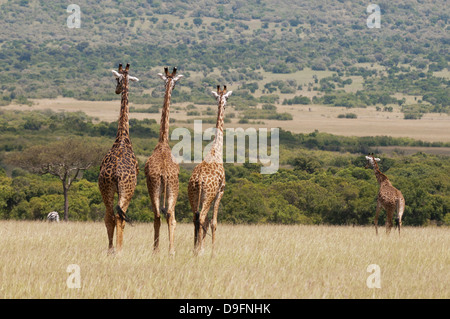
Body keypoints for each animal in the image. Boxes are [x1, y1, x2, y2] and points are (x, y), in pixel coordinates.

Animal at [188, 86, 234, 256]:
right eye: (227, 98)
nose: (225, 105)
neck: (216, 151)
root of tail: (198, 181)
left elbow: (207, 222)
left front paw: (201, 247)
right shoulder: (221, 191)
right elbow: (214, 222)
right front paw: (213, 252)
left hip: (193, 196)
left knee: (196, 219)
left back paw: (195, 249)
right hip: (208, 196)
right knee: (202, 218)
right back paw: (200, 250)